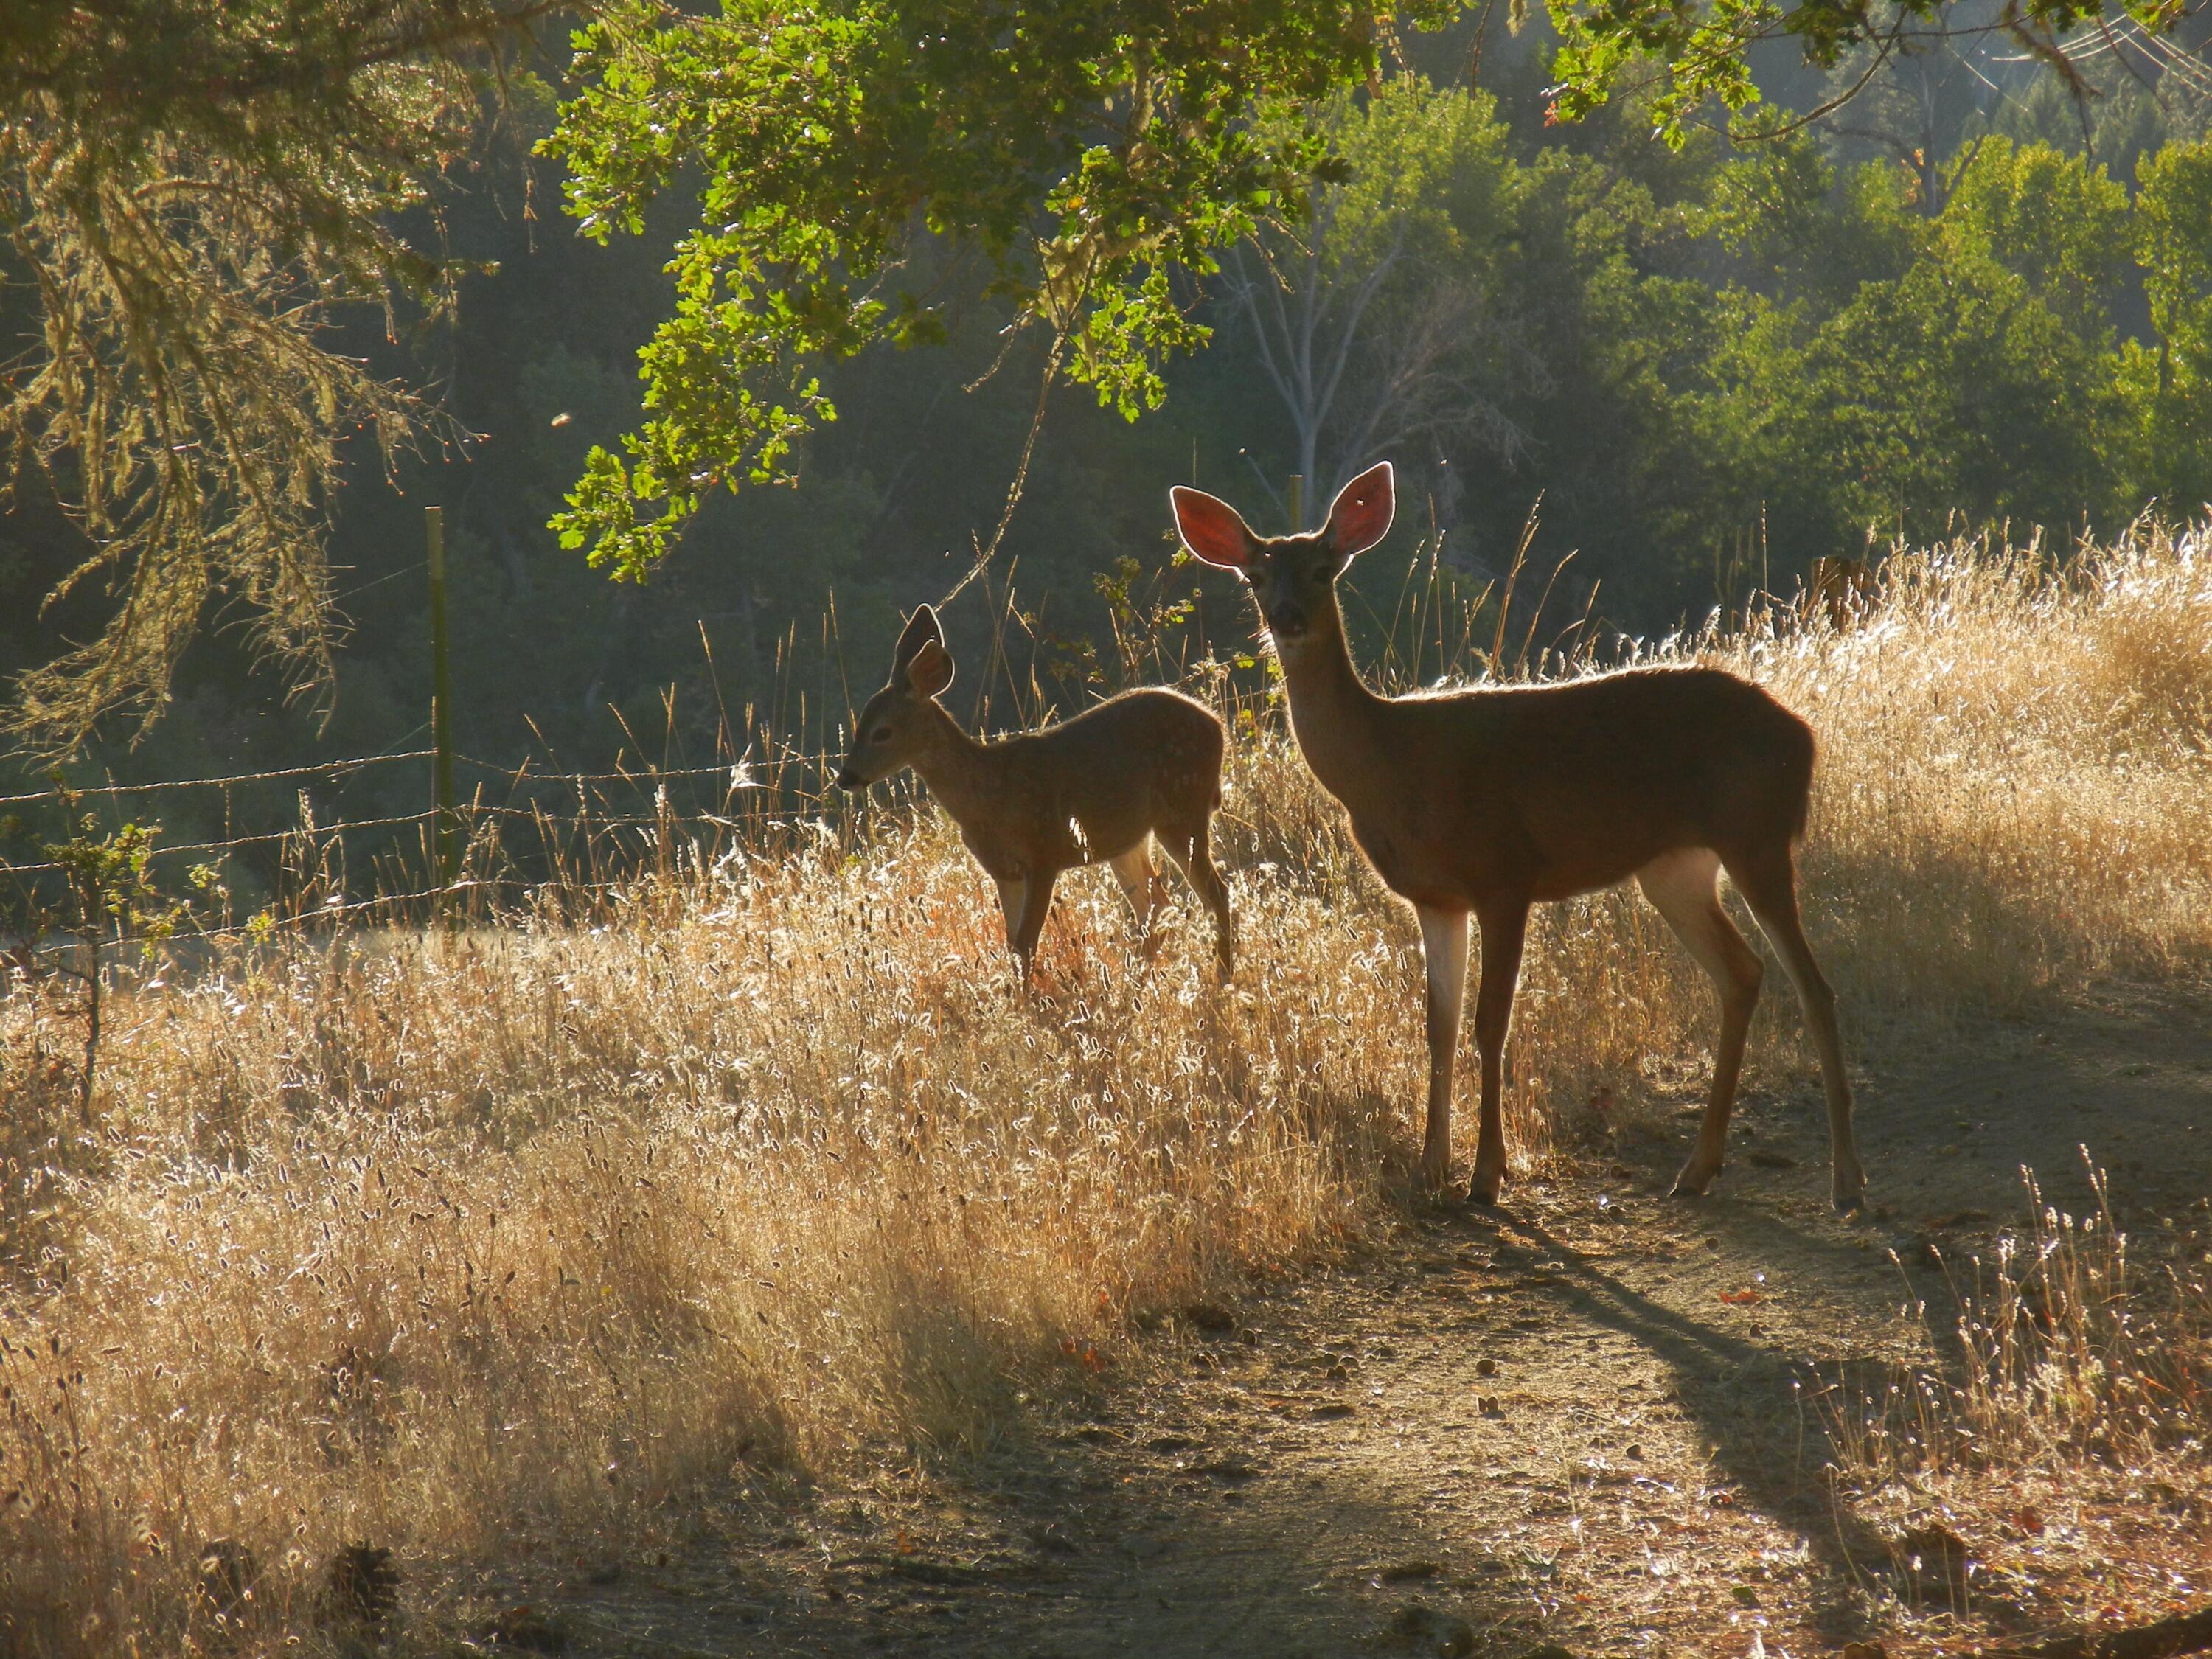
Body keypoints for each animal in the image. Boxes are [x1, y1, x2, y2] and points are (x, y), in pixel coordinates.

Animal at [833, 604, 1235, 986]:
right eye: (859, 725)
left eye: (882, 732)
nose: (846, 777)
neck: (988, 796)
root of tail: (1217, 725)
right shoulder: (1003, 870)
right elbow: (1012, 945)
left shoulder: (1044, 852)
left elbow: (1026, 944)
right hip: (1126, 840)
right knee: (1156, 908)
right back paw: (1137, 985)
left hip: (1182, 807)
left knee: (1215, 894)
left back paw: (1222, 981)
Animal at [1170, 464, 1864, 1212]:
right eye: (1254, 576)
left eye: (1325, 570)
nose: (1288, 617)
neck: (1389, 762)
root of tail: (1804, 734)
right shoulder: (1435, 898)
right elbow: (1438, 1028)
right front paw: (1429, 1170)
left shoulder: (1505, 873)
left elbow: (1489, 1022)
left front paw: (1485, 1176)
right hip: (1674, 868)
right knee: (1743, 972)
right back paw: (1698, 1169)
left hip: (1757, 833)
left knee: (1815, 987)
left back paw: (1846, 1182)